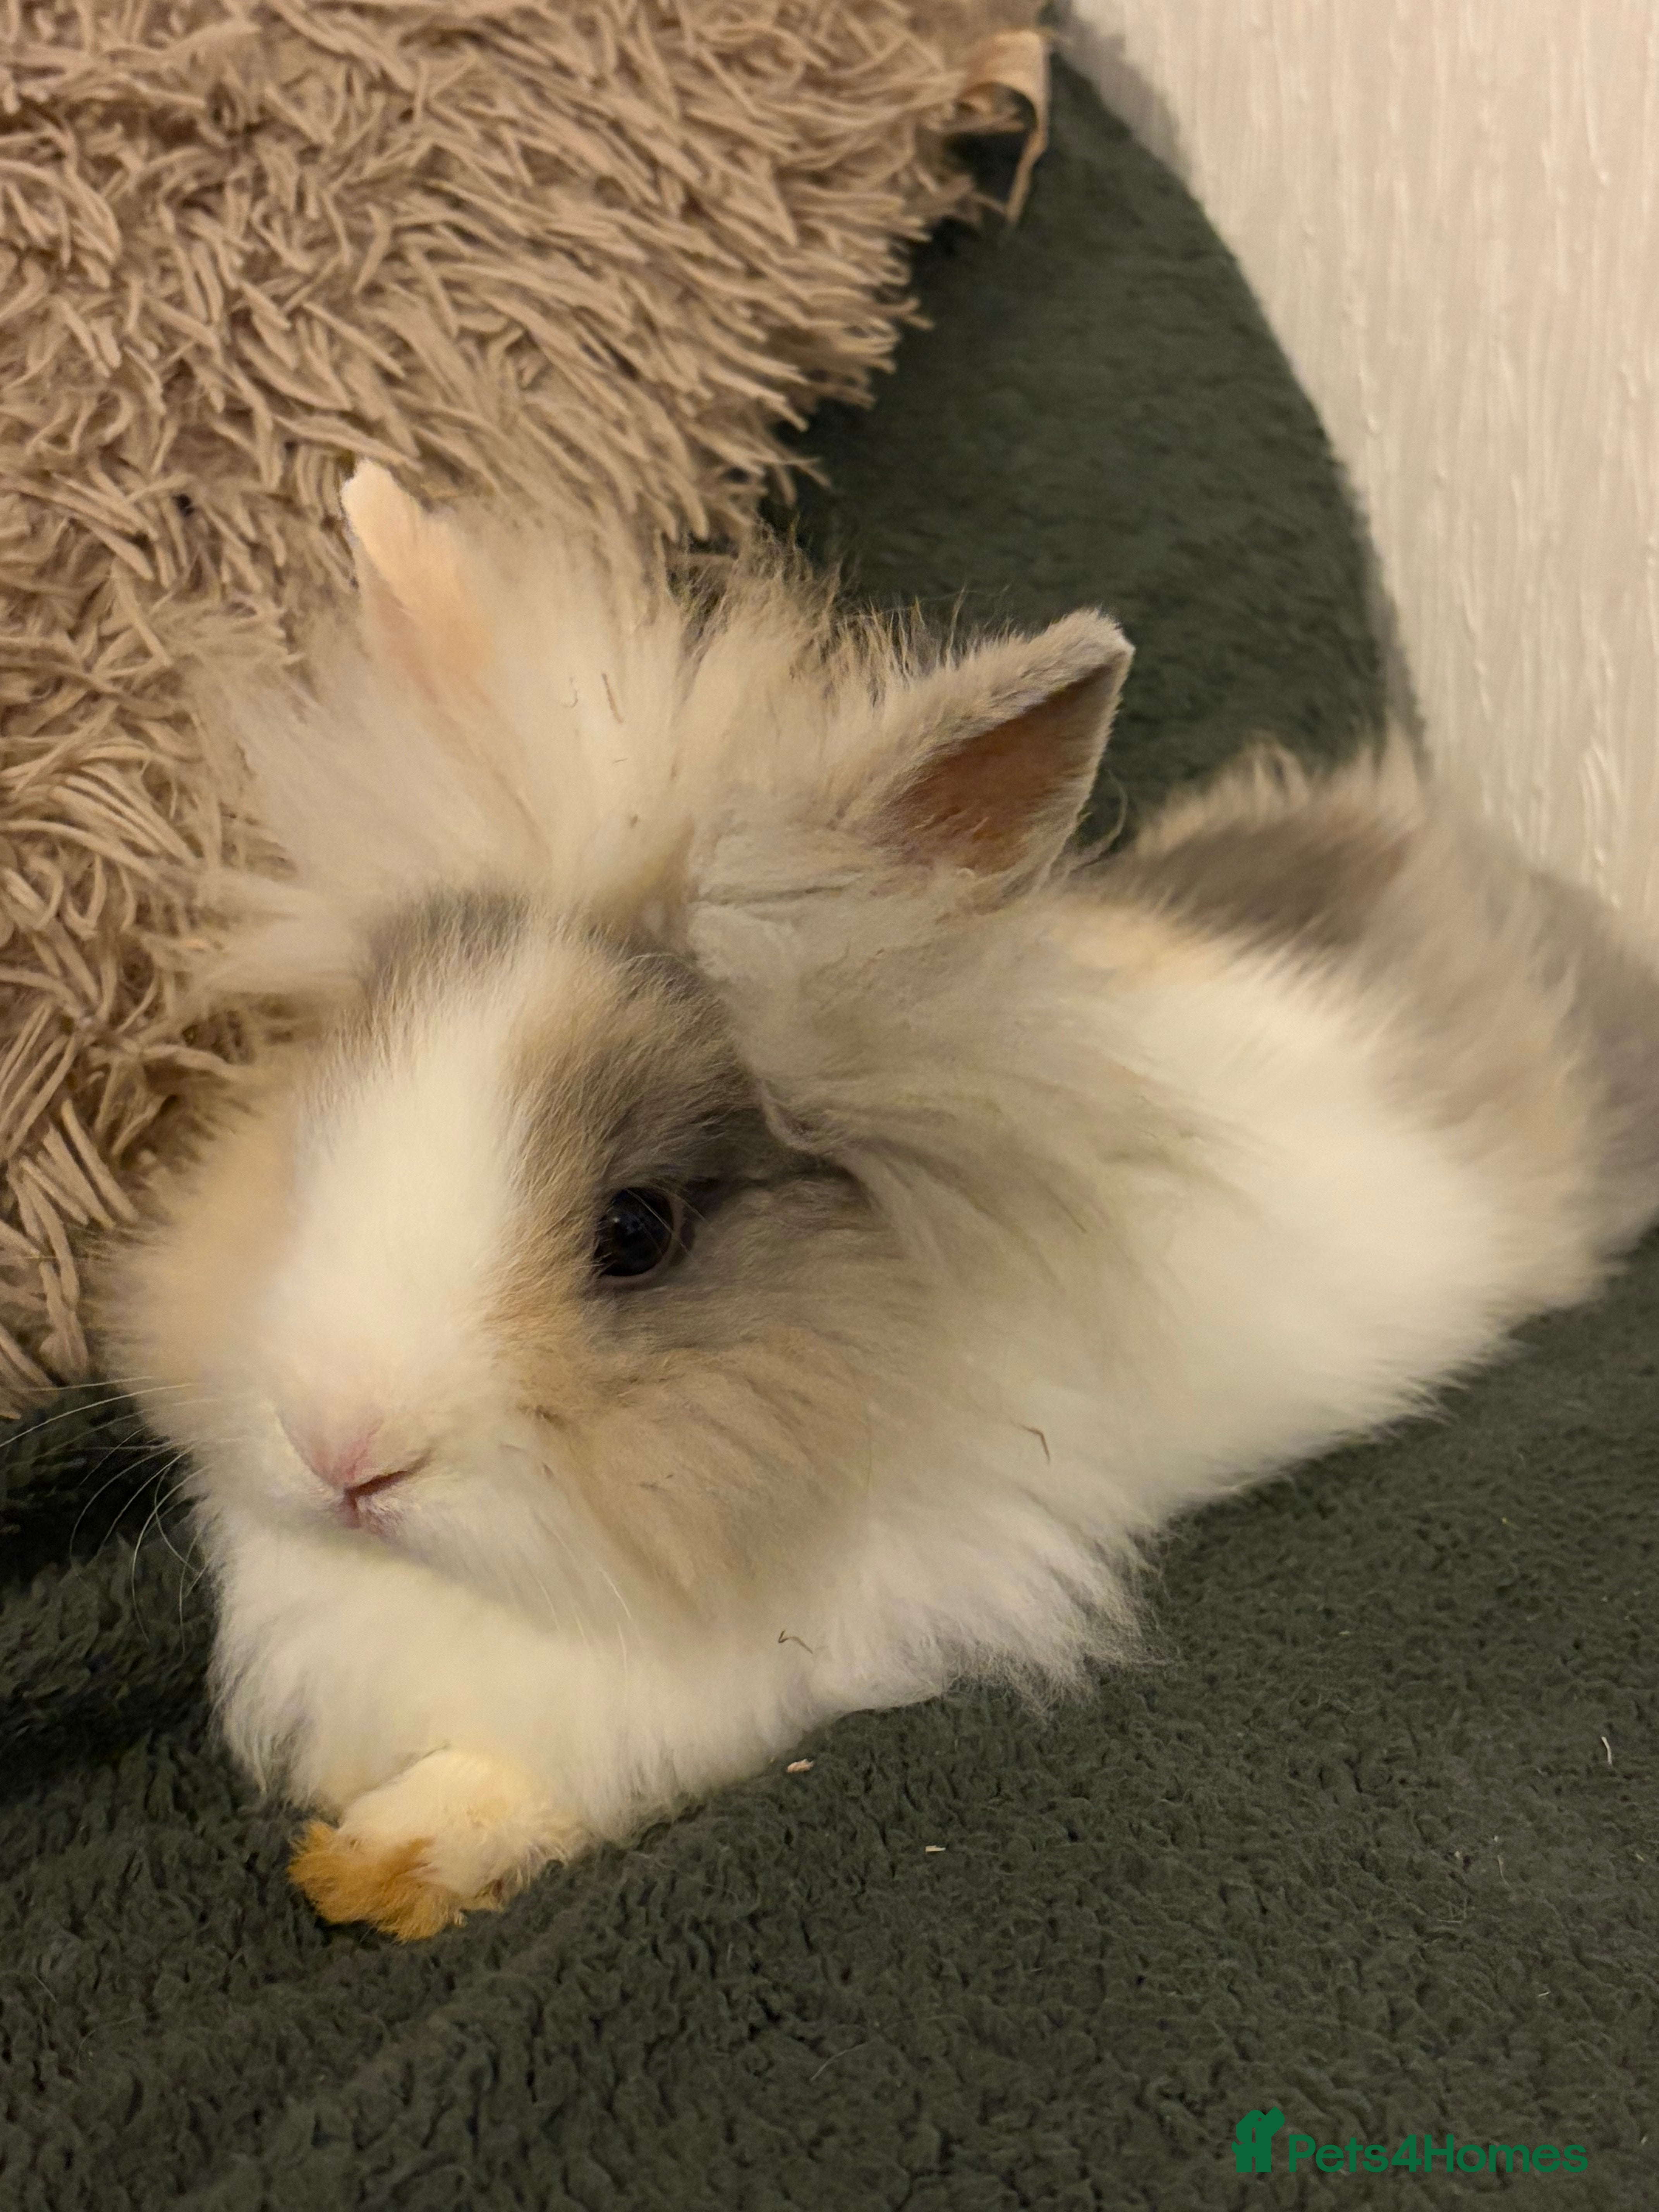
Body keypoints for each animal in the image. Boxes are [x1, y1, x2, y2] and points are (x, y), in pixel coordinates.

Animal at [97, 461, 1659, 1940]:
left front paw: (394, 1854)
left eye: (636, 1233)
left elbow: (573, 1761)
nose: (343, 1449)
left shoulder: (819, 1647)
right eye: (321, 1128)